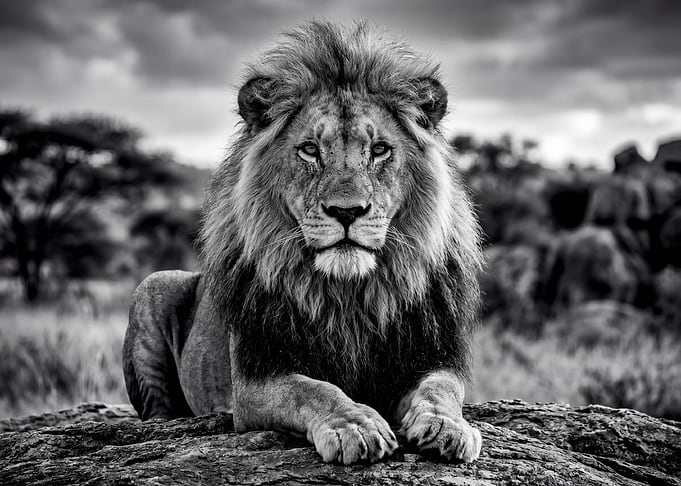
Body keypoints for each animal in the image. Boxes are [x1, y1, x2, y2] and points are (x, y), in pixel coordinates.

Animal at [123, 20, 483, 465]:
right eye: (310, 150)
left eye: (380, 149)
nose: (347, 211)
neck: (348, 296)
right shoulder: (256, 380)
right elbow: (313, 390)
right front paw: (355, 426)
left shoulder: (434, 355)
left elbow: (441, 389)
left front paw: (447, 426)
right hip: (152, 285)